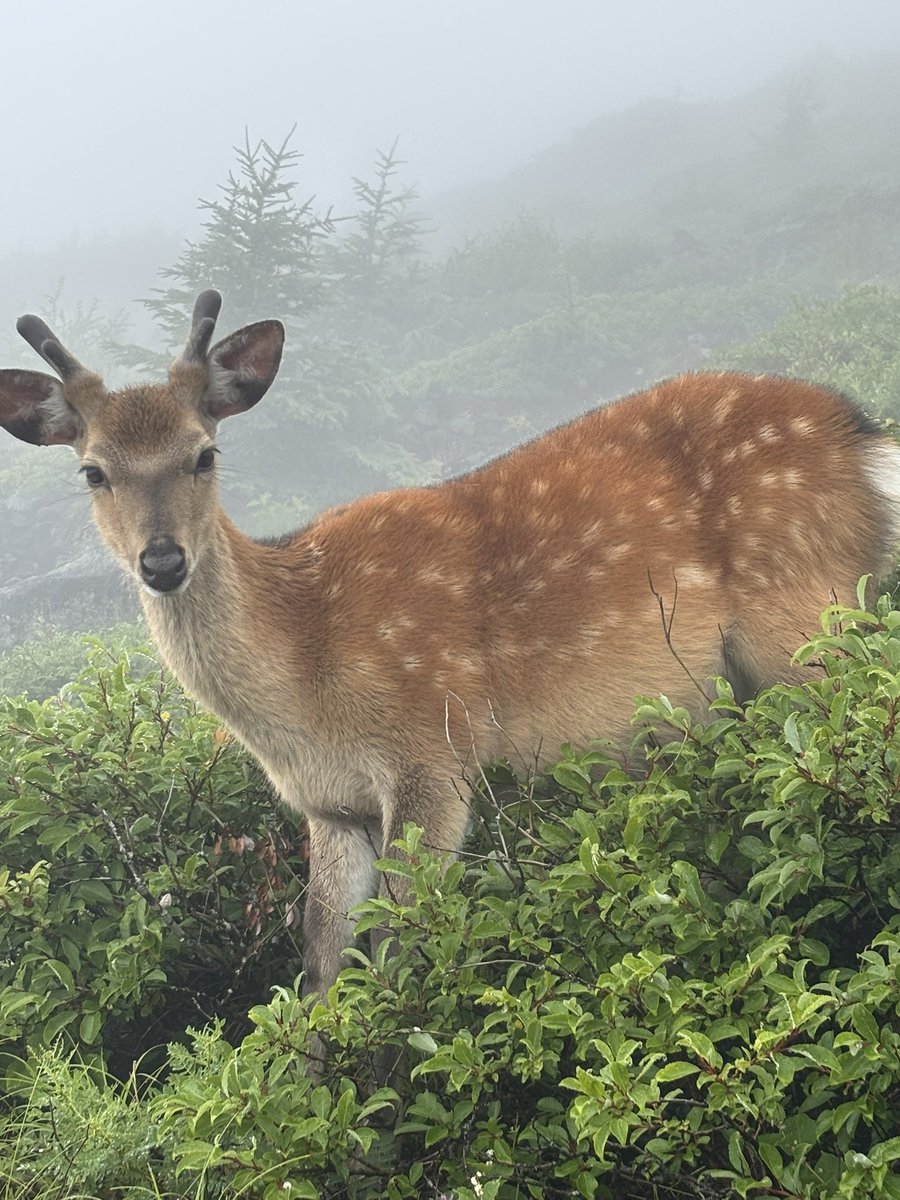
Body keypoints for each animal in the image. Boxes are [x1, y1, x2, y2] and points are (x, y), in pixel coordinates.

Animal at [1, 289, 899, 1029]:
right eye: (93, 471)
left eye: (204, 454)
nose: (162, 561)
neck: (303, 681)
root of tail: (862, 439)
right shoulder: (331, 809)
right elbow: (320, 968)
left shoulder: (432, 754)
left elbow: (399, 955)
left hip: (804, 615)